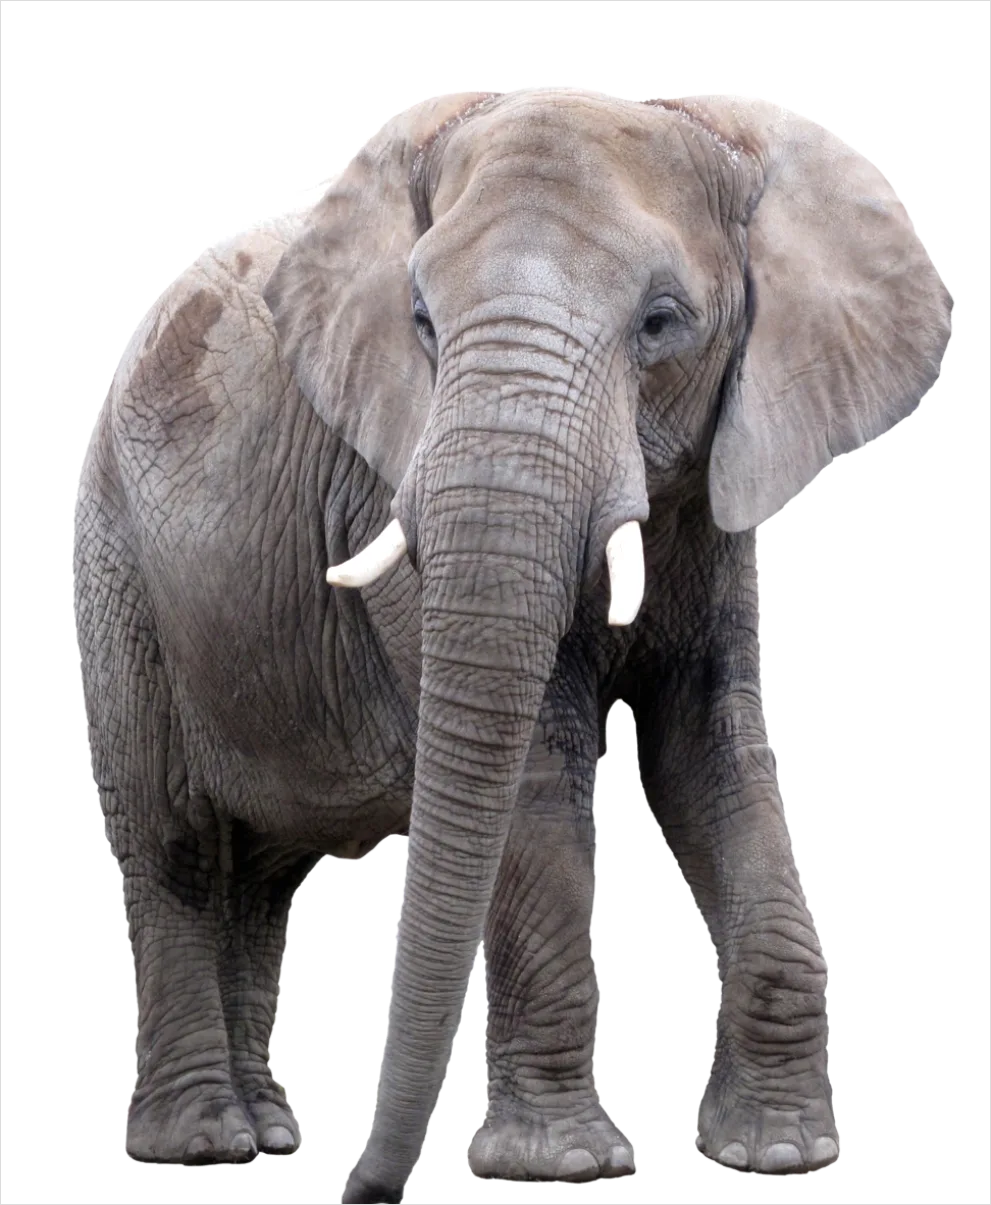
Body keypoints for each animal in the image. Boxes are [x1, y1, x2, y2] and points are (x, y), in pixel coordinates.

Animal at [71, 88, 950, 1198]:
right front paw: (559, 1162)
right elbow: (536, 762)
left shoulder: (717, 494)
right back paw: (204, 1143)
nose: (363, 1186)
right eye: (420, 321)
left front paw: (779, 1153)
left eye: (662, 322)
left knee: (259, 876)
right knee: (178, 843)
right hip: (120, 566)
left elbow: (710, 753)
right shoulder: (384, 482)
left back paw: (266, 1130)